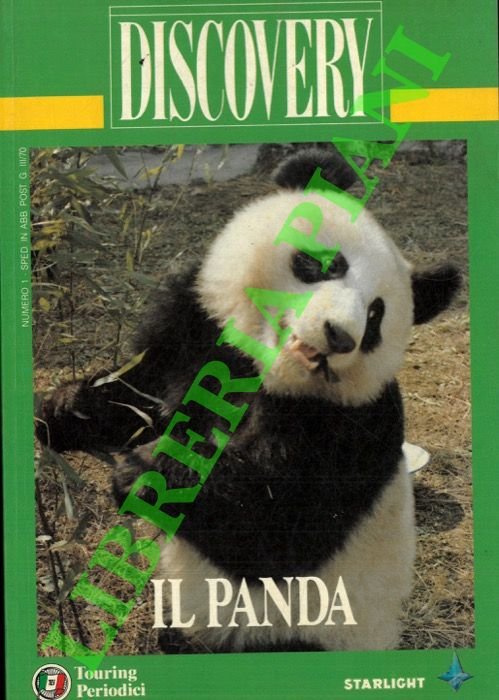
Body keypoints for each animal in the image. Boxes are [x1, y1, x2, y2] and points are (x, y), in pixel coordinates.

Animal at [37, 149, 460, 654]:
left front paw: (146, 473)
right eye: (326, 264)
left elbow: (275, 533)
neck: (268, 365)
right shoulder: (198, 329)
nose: (340, 336)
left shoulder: (351, 425)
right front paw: (63, 408)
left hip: (309, 633)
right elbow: (141, 394)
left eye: (376, 315)